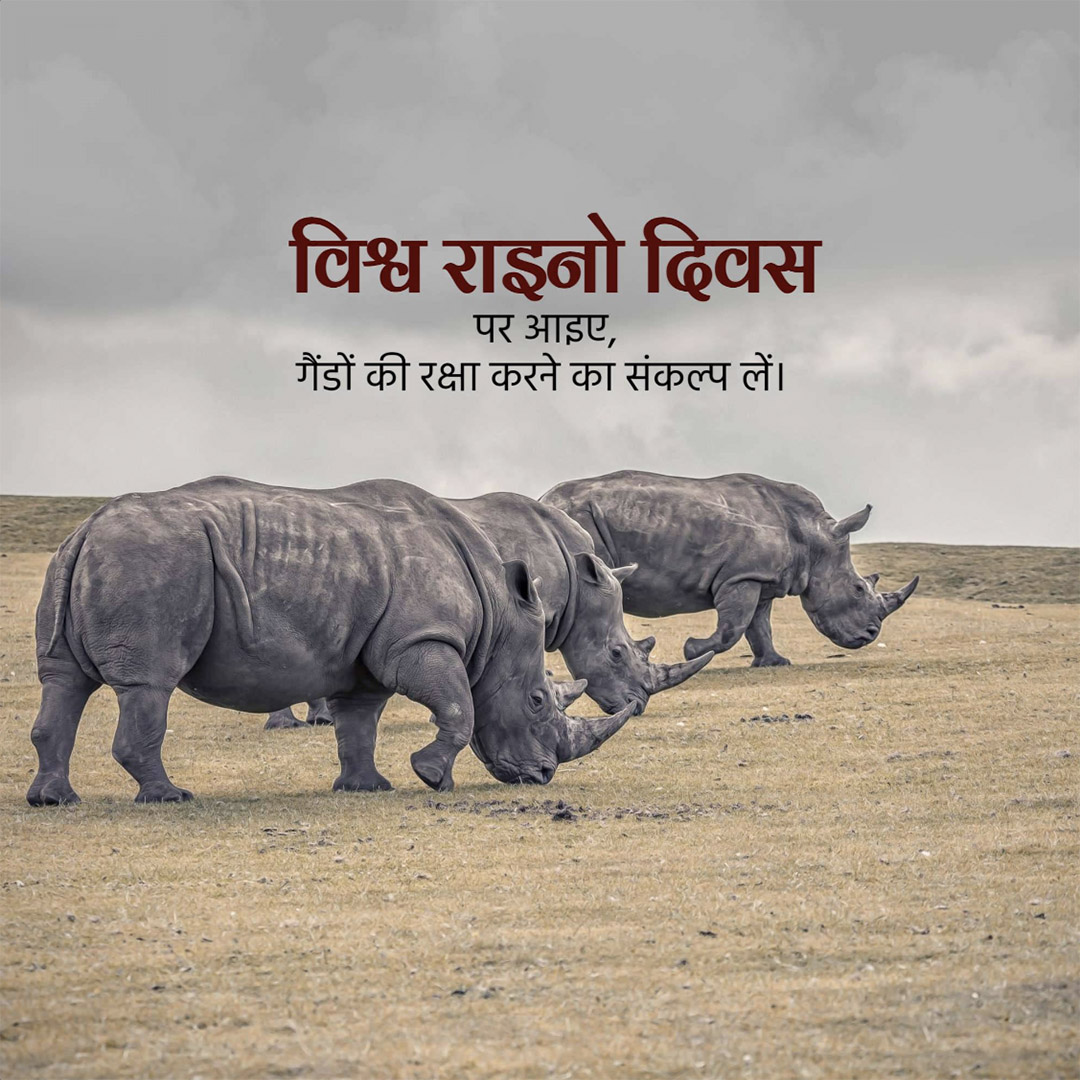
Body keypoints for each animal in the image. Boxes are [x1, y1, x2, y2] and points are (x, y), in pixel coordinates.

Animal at [27, 477, 634, 806]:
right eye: (537, 701)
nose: (542, 776)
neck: (497, 619)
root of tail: (87, 528)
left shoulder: (368, 657)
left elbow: (358, 723)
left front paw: (368, 788)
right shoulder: (421, 641)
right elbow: (459, 705)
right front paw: (431, 776)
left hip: (86, 560)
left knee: (63, 679)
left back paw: (54, 800)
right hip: (152, 563)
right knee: (149, 683)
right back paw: (170, 798)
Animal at [542, 470, 918, 667]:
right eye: (858, 588)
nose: (870, 635)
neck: (814, 538)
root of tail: (545, 499)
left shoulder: (762, 579)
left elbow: (759, 626)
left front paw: (774, 663)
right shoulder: (741, 576)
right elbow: (732, 628)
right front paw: (692, 650)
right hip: (578, 520)